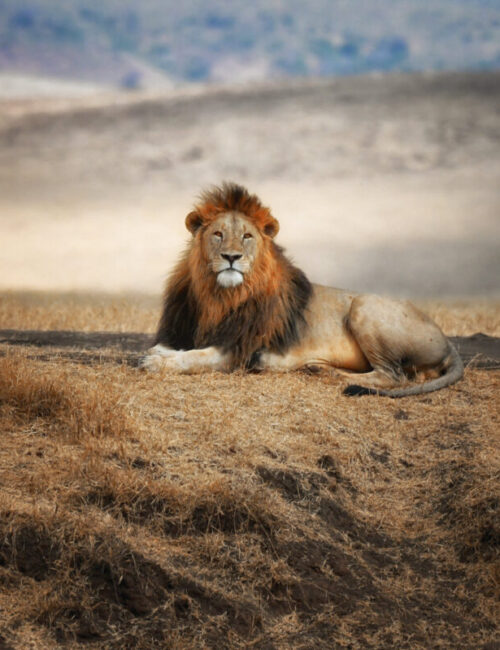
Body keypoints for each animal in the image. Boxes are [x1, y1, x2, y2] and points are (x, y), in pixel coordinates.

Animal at [140, 180, 460, 398]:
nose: (232, 257)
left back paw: (337, 377)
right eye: (218, 234)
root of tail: (447, 340)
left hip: (364, 307)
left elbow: (194, 357)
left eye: (247, 236)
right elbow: (178, 347)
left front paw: (156, 361)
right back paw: (318, 368)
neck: (220, 297)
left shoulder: (238, 350)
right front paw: (160, 351)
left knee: (393, 376)